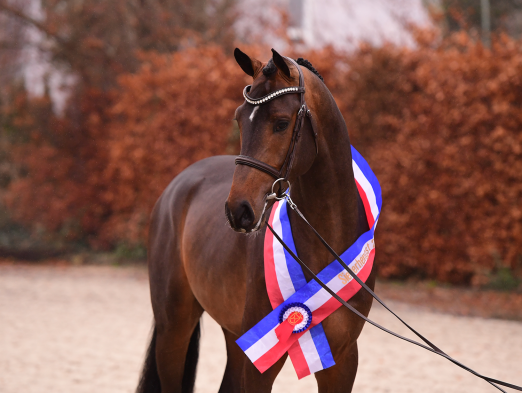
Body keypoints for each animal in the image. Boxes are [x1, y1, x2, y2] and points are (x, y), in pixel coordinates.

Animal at [137, 49, 374, 392]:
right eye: (239, 119)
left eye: (281, 123)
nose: (238, 211)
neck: (326, 245)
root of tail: (178, 184)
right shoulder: (262, 362)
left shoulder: (342, 361)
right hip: (174, 328)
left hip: (234, 336)